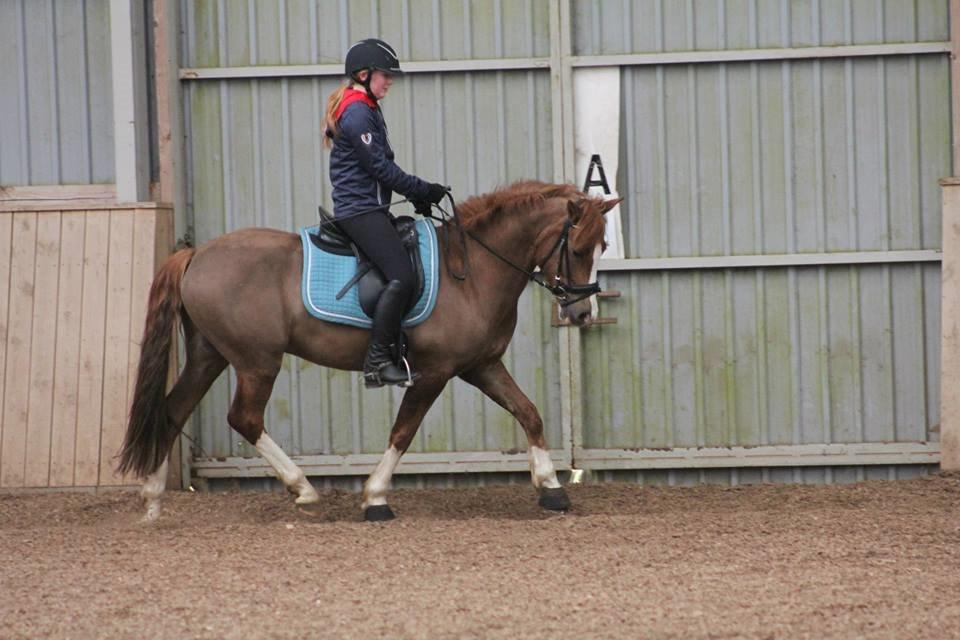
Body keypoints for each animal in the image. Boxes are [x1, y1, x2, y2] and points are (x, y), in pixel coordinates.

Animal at [120, 179, 620, 520]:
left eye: (603, 245)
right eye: (577, 248)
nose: (582, 314)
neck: (473, 271)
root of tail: (198, 254)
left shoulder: (481, 366)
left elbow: (528, 412)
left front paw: (551, 487)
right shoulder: (435, 373)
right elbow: (403, 431)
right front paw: (375, 496)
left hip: (210, 354)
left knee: (173, 410)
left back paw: (152, 501)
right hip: (256, 361)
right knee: (243, 418)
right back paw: (302, 489)